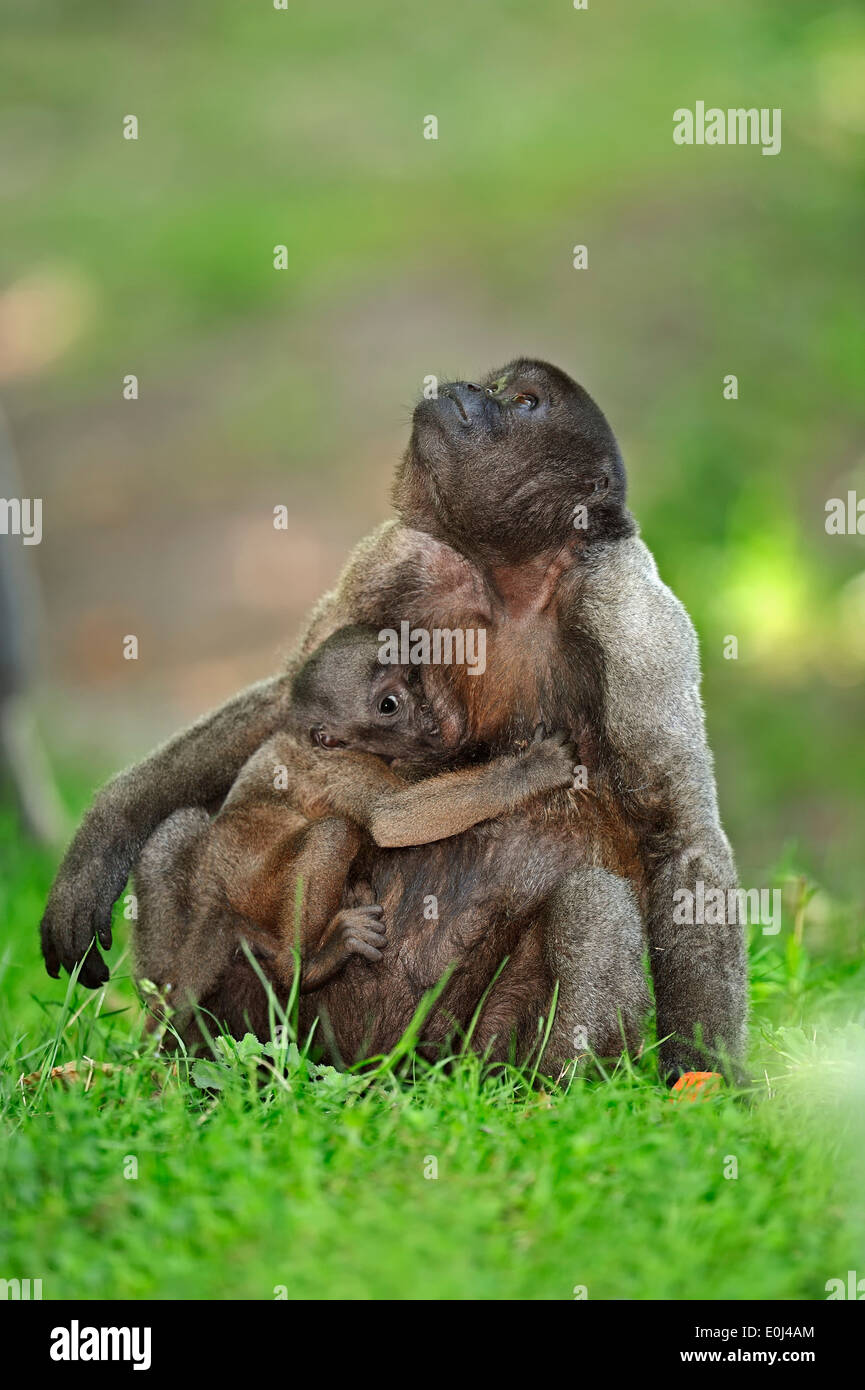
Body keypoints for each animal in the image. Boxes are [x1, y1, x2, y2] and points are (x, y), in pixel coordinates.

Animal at [134, 623, 579, 1038]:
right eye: (389, 705)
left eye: (413, 676)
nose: (427, 711)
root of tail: (216, 890)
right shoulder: (342, 764)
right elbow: (390, 818)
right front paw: (531, 769)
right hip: (257, 887)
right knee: (334, 833)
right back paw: (306, 966)